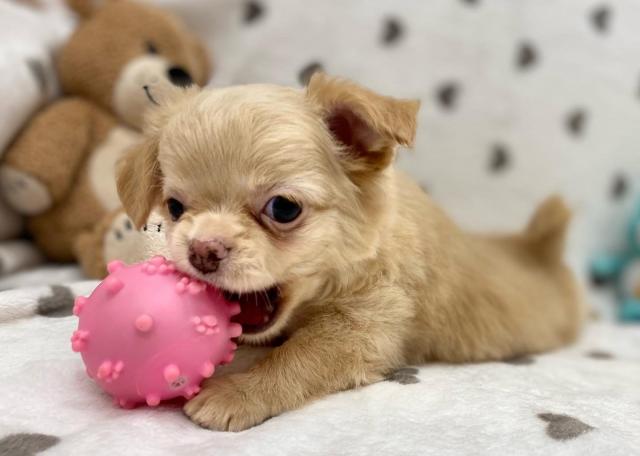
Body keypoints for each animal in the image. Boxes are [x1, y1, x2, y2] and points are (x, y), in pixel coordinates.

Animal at [116, 73, 585, 431]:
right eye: (175, 208)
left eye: (283, 208)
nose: (202, 251)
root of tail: (539, 248)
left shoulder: (361, 328)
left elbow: (296, 357)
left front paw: (238, 393)